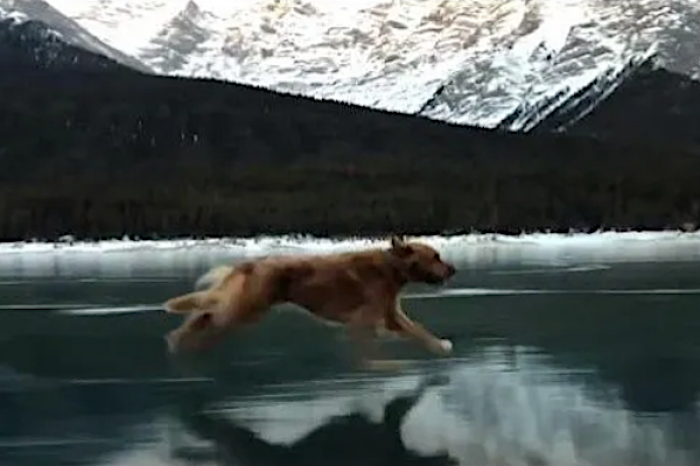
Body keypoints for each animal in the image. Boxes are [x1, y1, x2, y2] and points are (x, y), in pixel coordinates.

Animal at [164, 237, 460, 364]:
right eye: (435, 256)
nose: (453, 269)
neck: (391, 269)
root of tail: (252, 263)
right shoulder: (364, 319)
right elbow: (371, 350)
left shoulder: (389, 314)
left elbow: (418, 330)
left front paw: (439, 346)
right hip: (246, 307)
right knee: (209, 313)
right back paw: (181, 341)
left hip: (246, 308)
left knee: (207, 314)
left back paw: (183, 342)